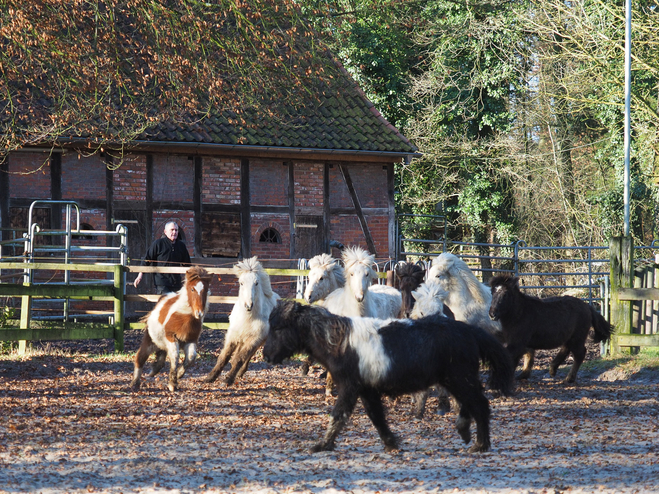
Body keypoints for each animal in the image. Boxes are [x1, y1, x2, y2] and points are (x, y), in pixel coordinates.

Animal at [205, 256, 280, 388]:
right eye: (241, 283)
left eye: (256, 283)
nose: (248, 305)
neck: (248, 317)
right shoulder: (232, 336)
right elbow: (224, 357)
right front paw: (210, 377)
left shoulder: (254, 339)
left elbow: (239, 359)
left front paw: (227, 380)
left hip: (258, 341)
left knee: (248, 355)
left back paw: (240, 372)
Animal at [262, 300, 516, 454]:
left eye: (278, 328)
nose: (266, 355)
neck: (339, 342)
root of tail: (470, 331)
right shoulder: (367, 390)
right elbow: (377, 417)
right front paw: (392, 443)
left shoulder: (349, 387)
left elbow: (339, 415)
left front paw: (322, 445)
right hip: (456, 379)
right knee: (468, 404)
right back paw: (464, 431)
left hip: (460, 378)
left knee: (479, 404)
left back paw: (480, 445)